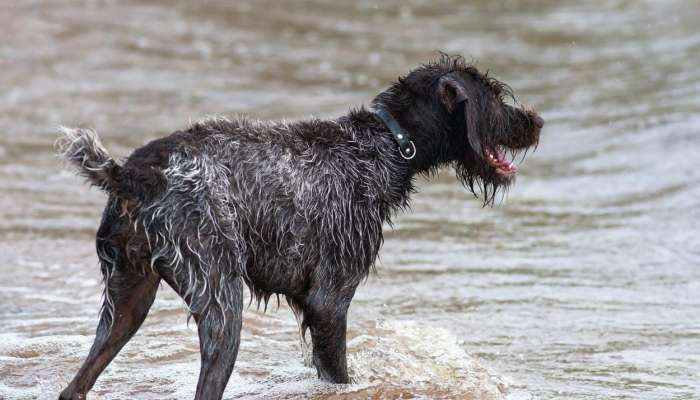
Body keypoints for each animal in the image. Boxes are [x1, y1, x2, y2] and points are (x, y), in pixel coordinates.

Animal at [57, 54, 544, 400]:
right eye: (495, 96)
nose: (537, 121)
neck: (384, 147)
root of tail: (131, 174)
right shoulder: (329, 301)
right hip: (221, 305)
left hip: (127, 303)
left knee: (74, 387)